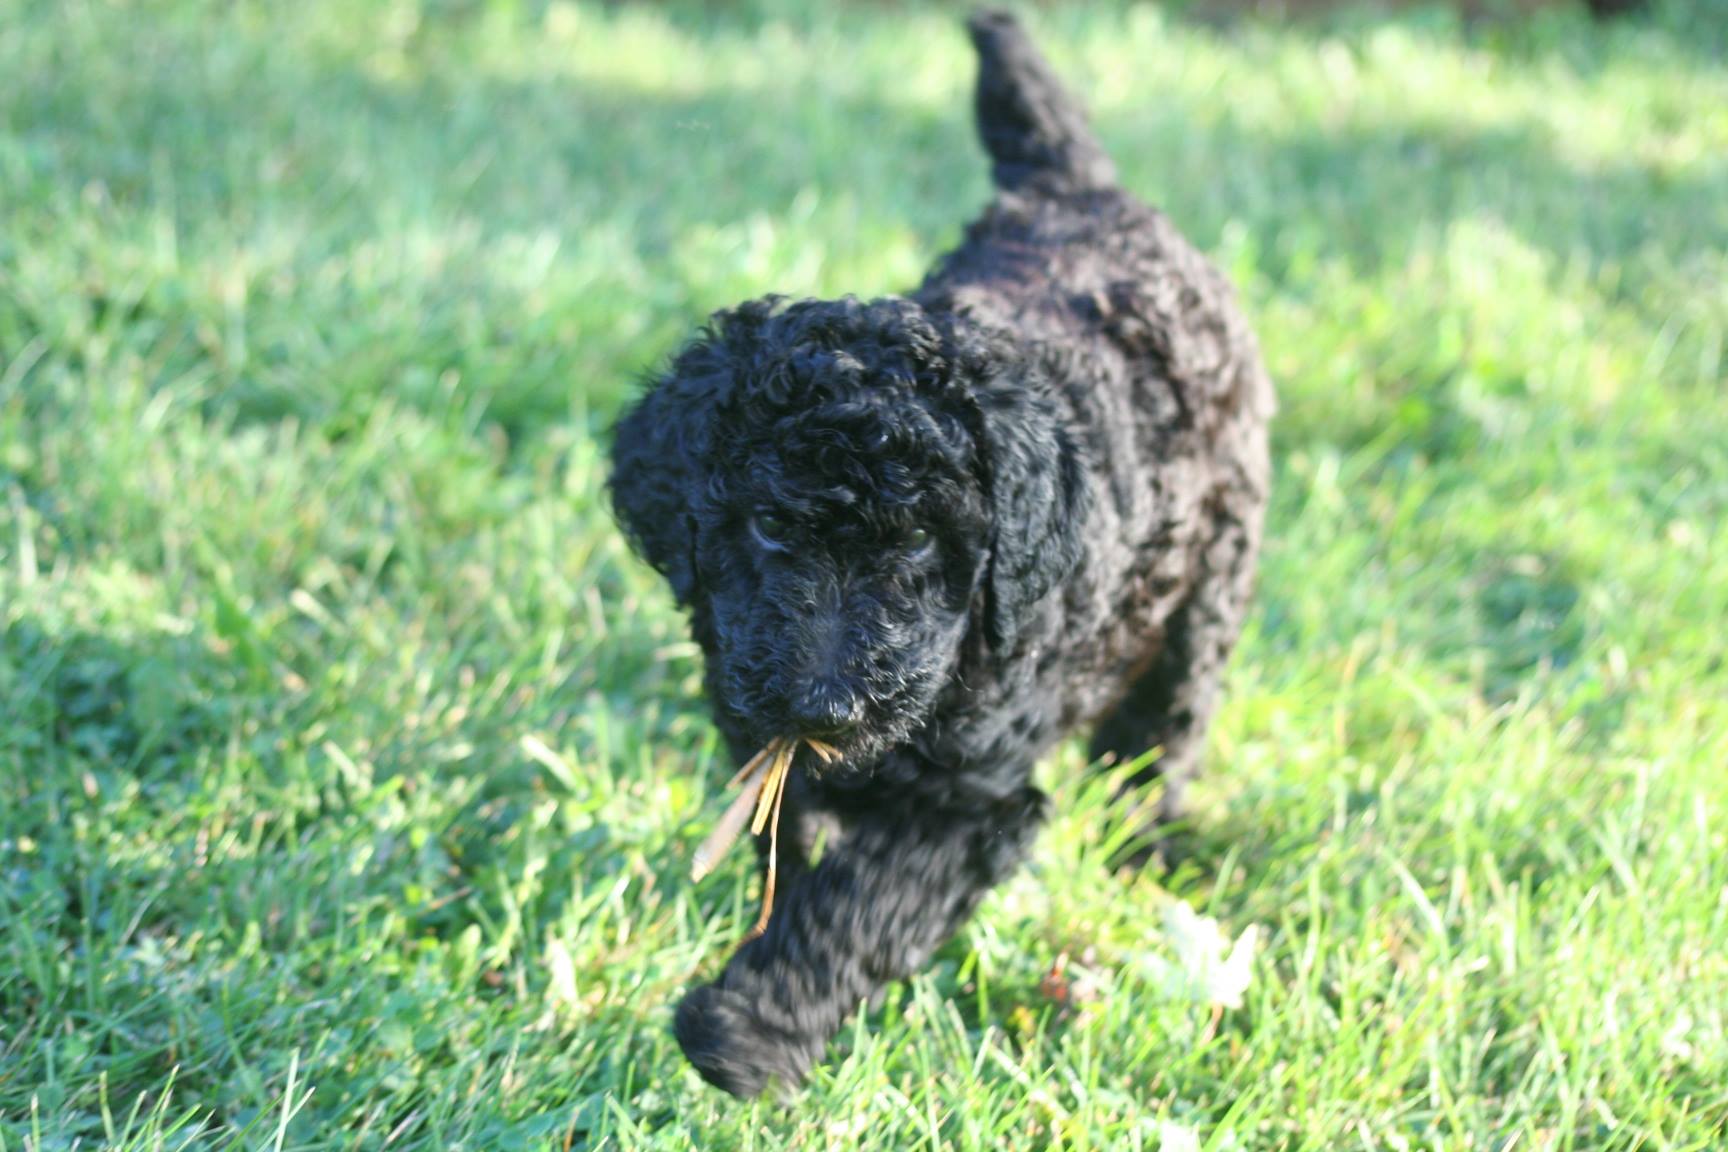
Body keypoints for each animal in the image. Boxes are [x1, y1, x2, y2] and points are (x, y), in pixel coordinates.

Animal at [608, 9, 1271, 1098]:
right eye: (768, 526)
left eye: (921, 536)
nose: (826, 707)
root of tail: (1080, 190)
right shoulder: (760, 723)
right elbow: (799, 847)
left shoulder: (974, 805)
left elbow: (854, 909)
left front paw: (743, 1034)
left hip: (1208, 584)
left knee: (1163, 732)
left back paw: (1151, 856)